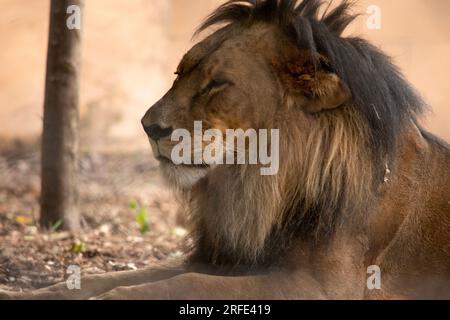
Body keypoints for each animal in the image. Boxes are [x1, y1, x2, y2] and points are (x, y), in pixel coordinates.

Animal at [0, 0, 450, 300]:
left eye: (218, 83)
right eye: (180, 71)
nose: (148, 126)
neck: (257, 184)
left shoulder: (321, 287)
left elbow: (174, 286)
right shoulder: (220, 256)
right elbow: (109, 277)